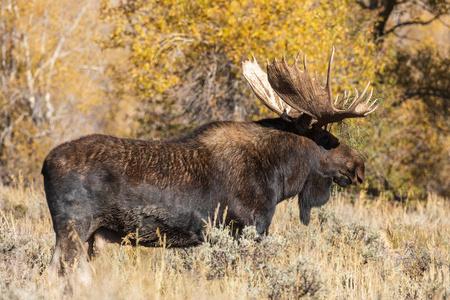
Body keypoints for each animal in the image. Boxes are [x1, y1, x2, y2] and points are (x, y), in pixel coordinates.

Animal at [42, 48, 378, 274]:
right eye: (327, 138)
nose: (358, 167)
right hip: (73, 226)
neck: (280, 177)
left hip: (86, 234)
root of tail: (45, 164)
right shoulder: (249, 226)